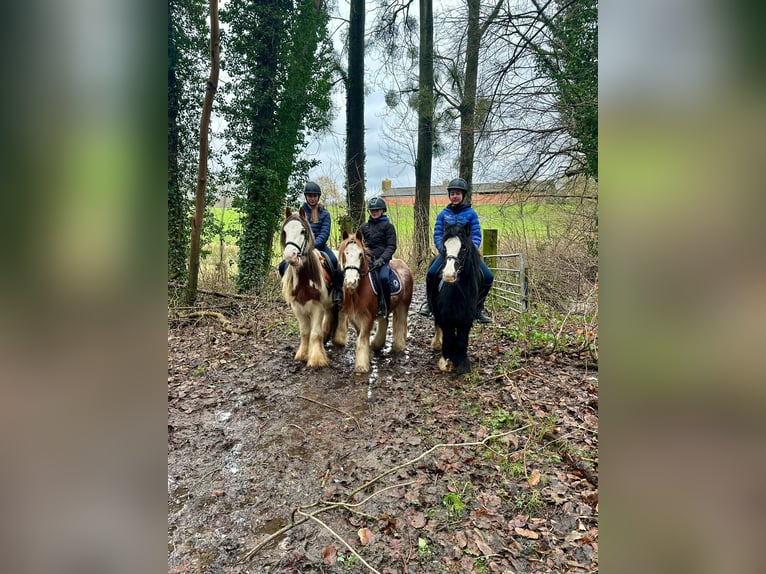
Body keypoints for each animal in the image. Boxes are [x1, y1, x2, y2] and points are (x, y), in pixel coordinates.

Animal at [280, 208, 344, 368]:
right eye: (285, 231)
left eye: (303, 231)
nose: (290, 256)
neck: (304, 280)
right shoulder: (297, 307)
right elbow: (305, 332)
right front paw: (303, 354)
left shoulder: (317, 307)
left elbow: (315, 333)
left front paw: (316, 359)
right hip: (328, 305)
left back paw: (338, 339)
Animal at [338, 230, 414, 378]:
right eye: (345, 253)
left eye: (360, 254)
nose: (351, 282)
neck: (359, 290)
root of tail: (404, 265)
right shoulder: (354, 317)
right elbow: (360, 336)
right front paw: (369, 354)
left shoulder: (367, 317)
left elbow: (362, 338)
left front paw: (361, 366)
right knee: (385, 322)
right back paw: (377, 344)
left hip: (403, 304)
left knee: (401, 322)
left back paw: (398, 346)